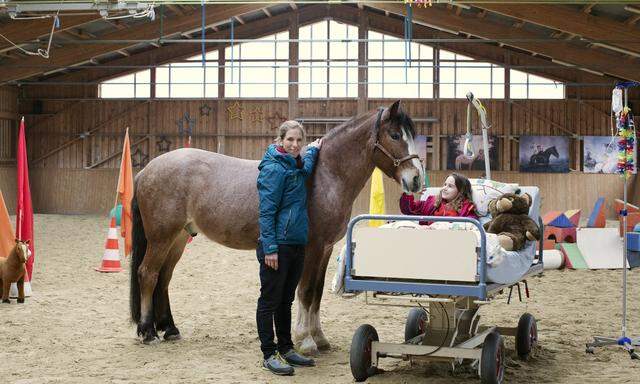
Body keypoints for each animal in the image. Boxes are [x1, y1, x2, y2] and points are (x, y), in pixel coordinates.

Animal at [130, 100, 424, 354]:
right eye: (395, 135)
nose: (417, 179)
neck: (325, 175)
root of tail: (146, 170)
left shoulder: (326, 249)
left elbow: (317, 293)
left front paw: (320, 338)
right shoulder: (311, 247)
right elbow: (305, 292)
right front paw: (306, 341)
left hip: (178, 238)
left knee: (164, 278)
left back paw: (169, 329)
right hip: (161, 238)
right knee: (148, 274)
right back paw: (148, 332)